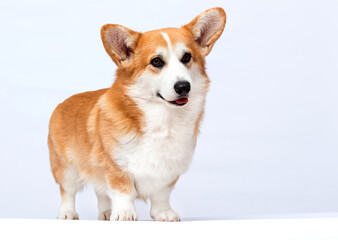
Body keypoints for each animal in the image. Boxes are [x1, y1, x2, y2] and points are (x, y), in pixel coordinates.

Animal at [47, 7, 226, 221]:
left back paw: (106, 213)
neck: (163, 121)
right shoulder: (116, 167)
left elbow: (161, 195)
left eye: (186, 58)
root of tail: (62, 103)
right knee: (67, 192)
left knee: (101, 192)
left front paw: (163, 213)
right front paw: (125, 214)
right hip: (66, 169)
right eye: (156, 61)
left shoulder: (169, 172)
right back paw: (67, 213)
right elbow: (123, 191)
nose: (183, 87)